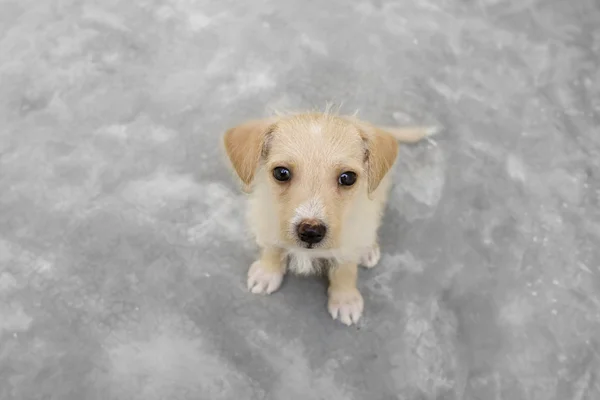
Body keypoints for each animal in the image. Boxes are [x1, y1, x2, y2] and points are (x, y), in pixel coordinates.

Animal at [223, 111, 434, 324]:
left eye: (348, 178)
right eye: (281, 173)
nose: (310, 232)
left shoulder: (350, 237)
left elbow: (345, 269)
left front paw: (345, 300)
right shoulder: (268, 216)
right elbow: (272, 247)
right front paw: (267, 272)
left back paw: (368, 250)